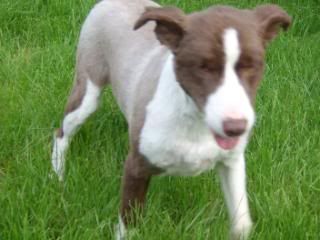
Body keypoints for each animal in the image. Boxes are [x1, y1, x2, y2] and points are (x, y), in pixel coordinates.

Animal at [51, 0, 292, 239]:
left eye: (252, 66)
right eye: (204, 67)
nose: (236, 128)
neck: (194, 120)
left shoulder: (231, 161)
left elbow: (242, 223)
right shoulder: (136, 167)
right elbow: (129, 221)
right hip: (88, 86)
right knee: (62, 131)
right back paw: (58, 174)